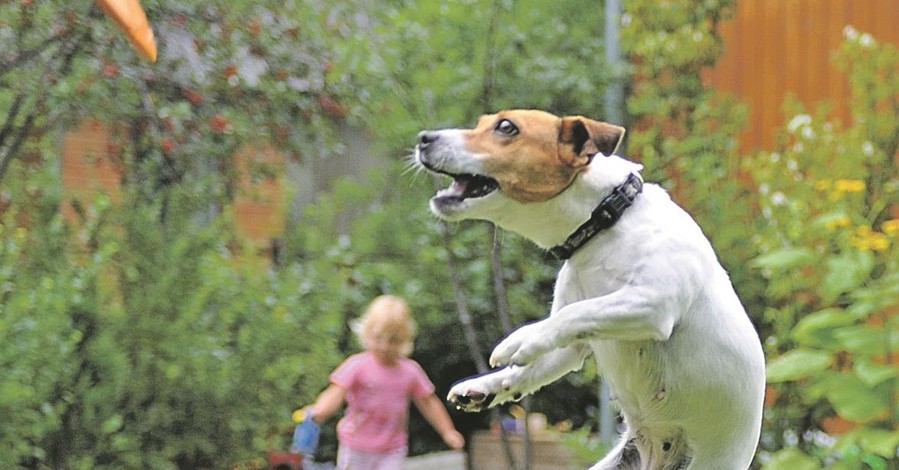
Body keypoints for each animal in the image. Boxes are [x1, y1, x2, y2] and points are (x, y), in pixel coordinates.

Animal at [414, 110, 768, 470]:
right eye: (482, 122)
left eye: (506, 127)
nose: (423, 139)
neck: (605, 223)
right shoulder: (572, 346)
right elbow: (534, 362)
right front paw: (486, 385)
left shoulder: (653, 304)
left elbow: (575, 313)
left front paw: (521, 339)